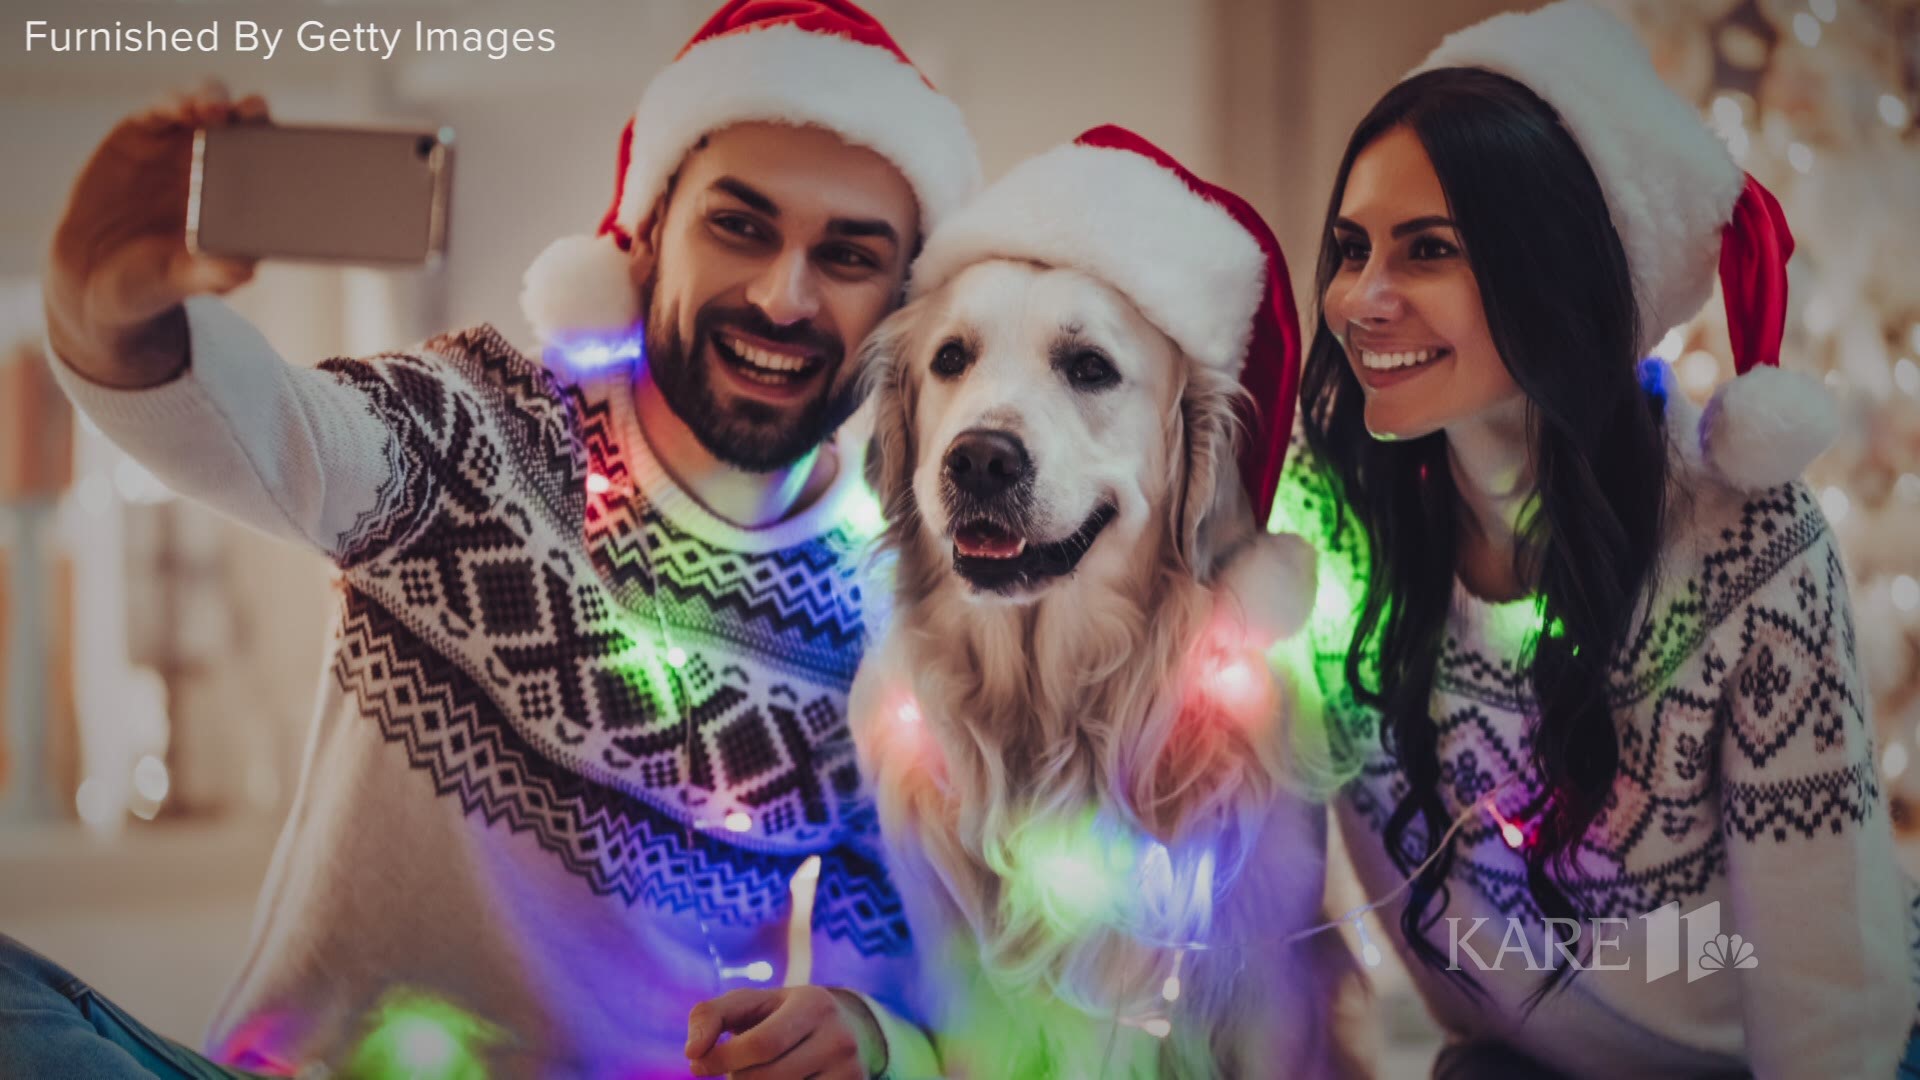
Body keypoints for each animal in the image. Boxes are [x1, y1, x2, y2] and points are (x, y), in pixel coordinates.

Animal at [848, 127, 1359, 1076]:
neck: (1059, 709)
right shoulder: (975, 1005)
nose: (980, 459)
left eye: (1089, 368)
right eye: (950, 359)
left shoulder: (1272, 990)